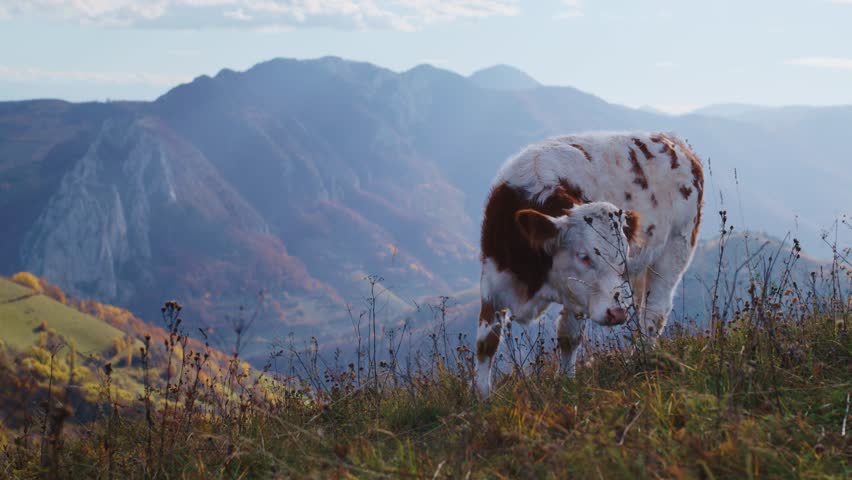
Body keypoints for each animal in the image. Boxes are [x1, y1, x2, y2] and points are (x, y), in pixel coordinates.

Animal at [475, 131, 704, 397]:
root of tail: (670, 139)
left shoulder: (577, 295)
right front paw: (481, 397)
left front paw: (566, 383)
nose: (616, 313)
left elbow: (568, 337)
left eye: (621, 257)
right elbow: (486, 343)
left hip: (675, 250)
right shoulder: (493, 281)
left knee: (654, 312)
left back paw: (641, 360)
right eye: (583, 256)